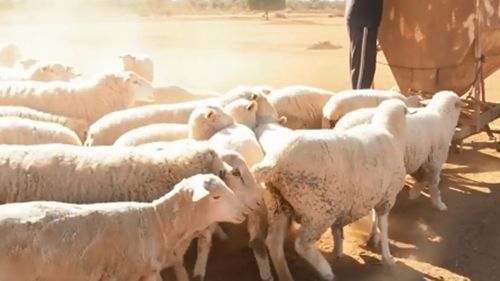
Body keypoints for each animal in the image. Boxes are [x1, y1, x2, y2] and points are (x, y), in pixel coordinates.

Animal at [252, 99, 408, 280]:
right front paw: (387, 257)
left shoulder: (374, 193)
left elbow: (357, 223)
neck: (391, 133)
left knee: (274, 243)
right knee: (302, 244)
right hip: (317, 211)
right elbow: (384, 225)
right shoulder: (388, 196)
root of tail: (275, 162)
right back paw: (326, 271)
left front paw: (344, 247)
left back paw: (286, 276)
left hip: (277, 205)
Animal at [332, 89, 464, 210]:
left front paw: (414, 193)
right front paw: (439, 204)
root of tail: (341, 126)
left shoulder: (421, 159)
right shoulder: (435, 161)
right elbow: (433, 183)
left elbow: (423, 179)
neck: (442, 116)